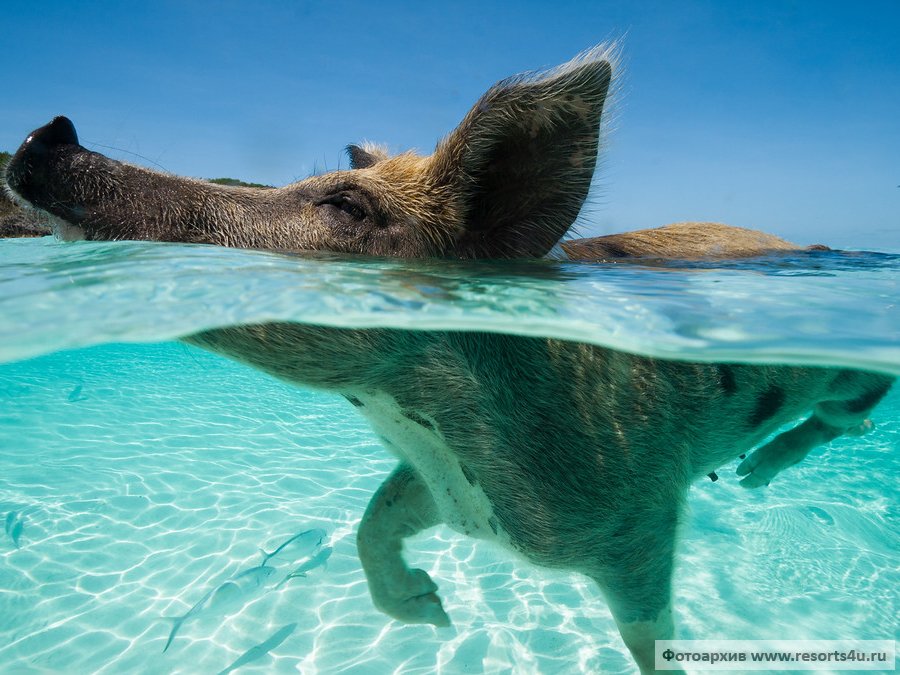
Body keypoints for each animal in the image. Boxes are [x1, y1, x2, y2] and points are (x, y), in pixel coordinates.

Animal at [5, 45, 892, 672]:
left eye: (346, 205)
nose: (49, 131)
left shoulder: (637, 519)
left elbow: (650, 635)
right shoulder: (449, 488)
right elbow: (372, 520)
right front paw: (435, 613)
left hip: (853, 380)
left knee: (846, 416)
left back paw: (754, 475)